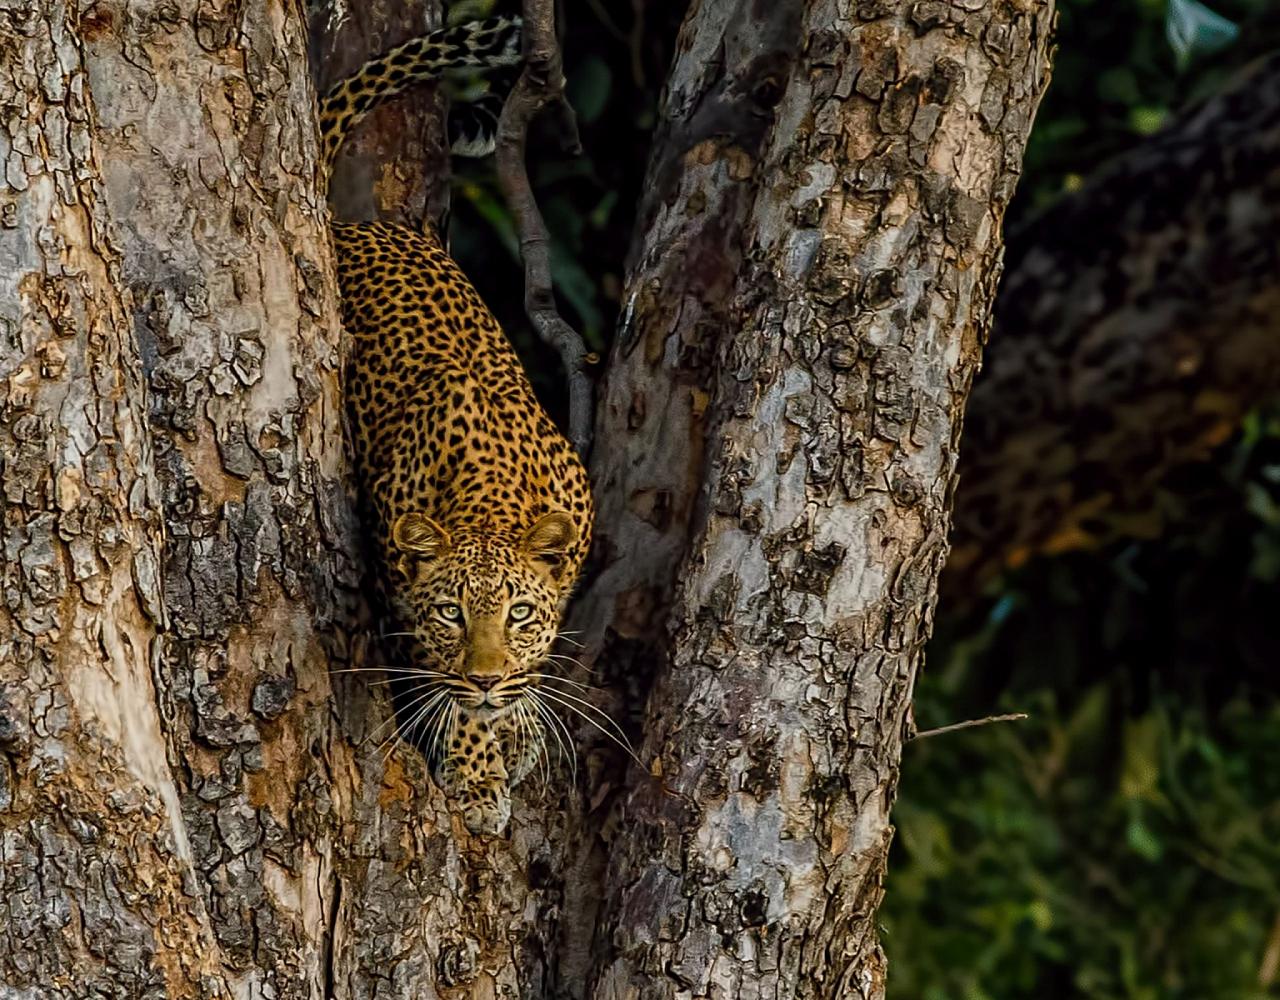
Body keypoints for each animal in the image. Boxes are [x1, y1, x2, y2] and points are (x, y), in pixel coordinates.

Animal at [322, 15, 596, 834]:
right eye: (451, 612)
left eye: (519, 613)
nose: (484, 679)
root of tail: (350, 227)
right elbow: (444, 686)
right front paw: (478, 769)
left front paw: (520, 721)